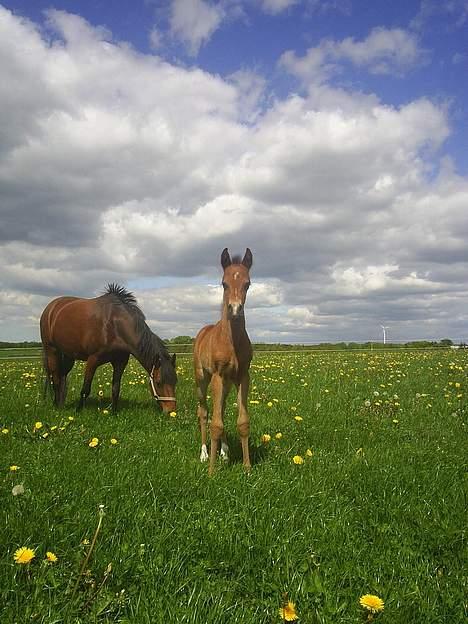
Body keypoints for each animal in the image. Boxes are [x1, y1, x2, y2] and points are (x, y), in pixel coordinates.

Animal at [40, 284, 177, 412]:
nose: (170, 410)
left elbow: (115, 388)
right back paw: (56, 406)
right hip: (51, 350)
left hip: (68, 355)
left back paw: (61, 404)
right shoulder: (93, 360)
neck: (113, 324)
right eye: (158, 382)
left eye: (175, 381)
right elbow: (85, 389)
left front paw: (113, 412)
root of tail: (51, 308)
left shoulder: (120, 362)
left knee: (62, 376)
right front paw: (78, 411)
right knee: (55, 378)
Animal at [193, 246, 252, 476]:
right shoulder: (217, 375)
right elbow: (215, 424)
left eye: (247, 283)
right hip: (202, 379)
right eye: (224, 283)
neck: (231, 341)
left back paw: (225, 452)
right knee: (204, 412)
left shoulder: (243, 376)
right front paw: (211, 473)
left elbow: (242, 422)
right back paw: (204, 454)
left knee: (222, 410)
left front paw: (247, 467)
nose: (235, 309)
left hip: (226, 383)